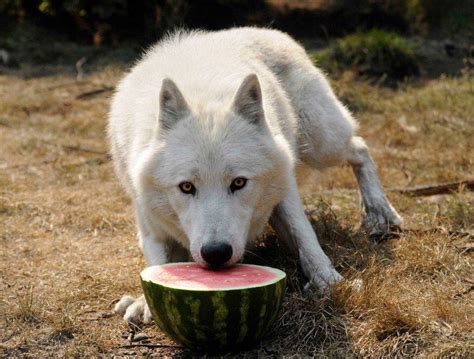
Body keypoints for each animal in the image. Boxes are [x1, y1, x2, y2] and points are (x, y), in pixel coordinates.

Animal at [107, 26, 400, 324]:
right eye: (186, 187)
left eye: (239, 183)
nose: (216, 253)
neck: (204, 96)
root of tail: (272, 31)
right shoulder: (149, 221)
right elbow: (157, 260)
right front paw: (144, 301)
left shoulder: (285, 186)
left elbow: (305, 235)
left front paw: (329, 281)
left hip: (322, 142)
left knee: (360, 148)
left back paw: (380, 213)